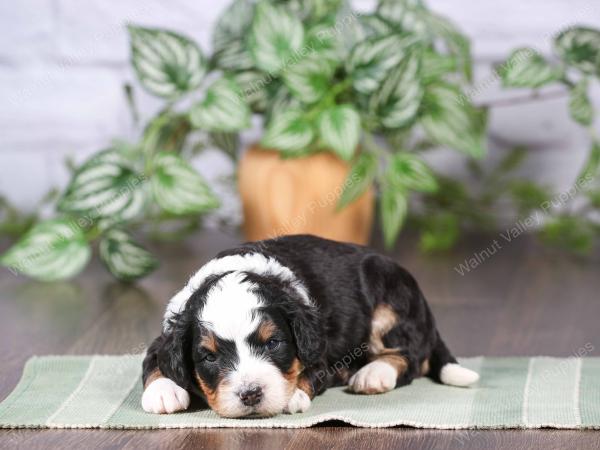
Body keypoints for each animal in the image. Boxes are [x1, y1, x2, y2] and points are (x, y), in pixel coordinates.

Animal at [141, 234, 478, 416]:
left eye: (273, 343)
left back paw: (373, 375)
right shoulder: (167, 333)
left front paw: (291, 395)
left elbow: (307, 373)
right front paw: (163, 392)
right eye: (209, 357)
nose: (250, 394)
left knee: (411, 358)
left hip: (389, 301)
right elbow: (154, 359)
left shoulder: (320, 349)